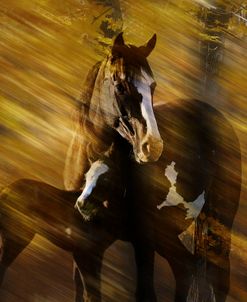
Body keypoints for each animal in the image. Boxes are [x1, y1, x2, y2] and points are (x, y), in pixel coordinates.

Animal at [76, 99, 241, 302]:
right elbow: (89, 289)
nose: (82, 204)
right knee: (185, 268)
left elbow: (145, 290)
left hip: (218, 223)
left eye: (107, 179)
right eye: (86, 177)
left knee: (219, 275)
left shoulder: (144, 238)